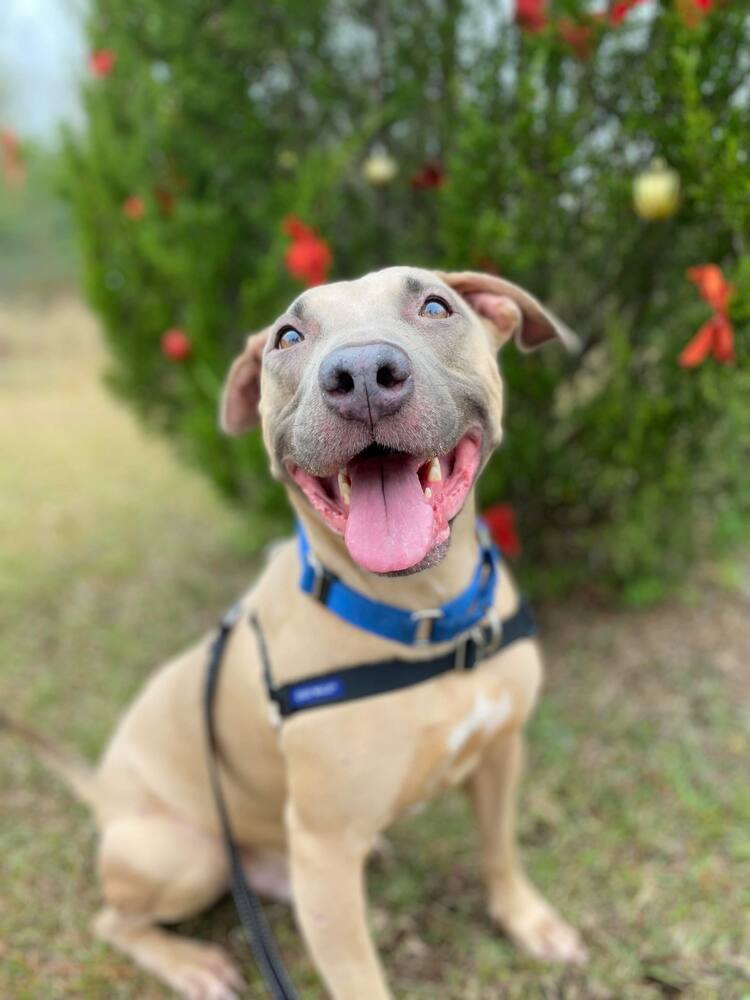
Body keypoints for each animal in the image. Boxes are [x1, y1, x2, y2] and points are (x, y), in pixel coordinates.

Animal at [4, 268, 588, 1000]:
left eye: (435, 306)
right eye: (287, 337)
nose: (362, 374)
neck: (423, 619)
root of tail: (104, 794)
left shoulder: (500, 752)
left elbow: (500, 850)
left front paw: (526, 920)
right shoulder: (326, 849)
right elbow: (361, 980)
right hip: (188, 853)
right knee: (114, 921)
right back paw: (190, 963)